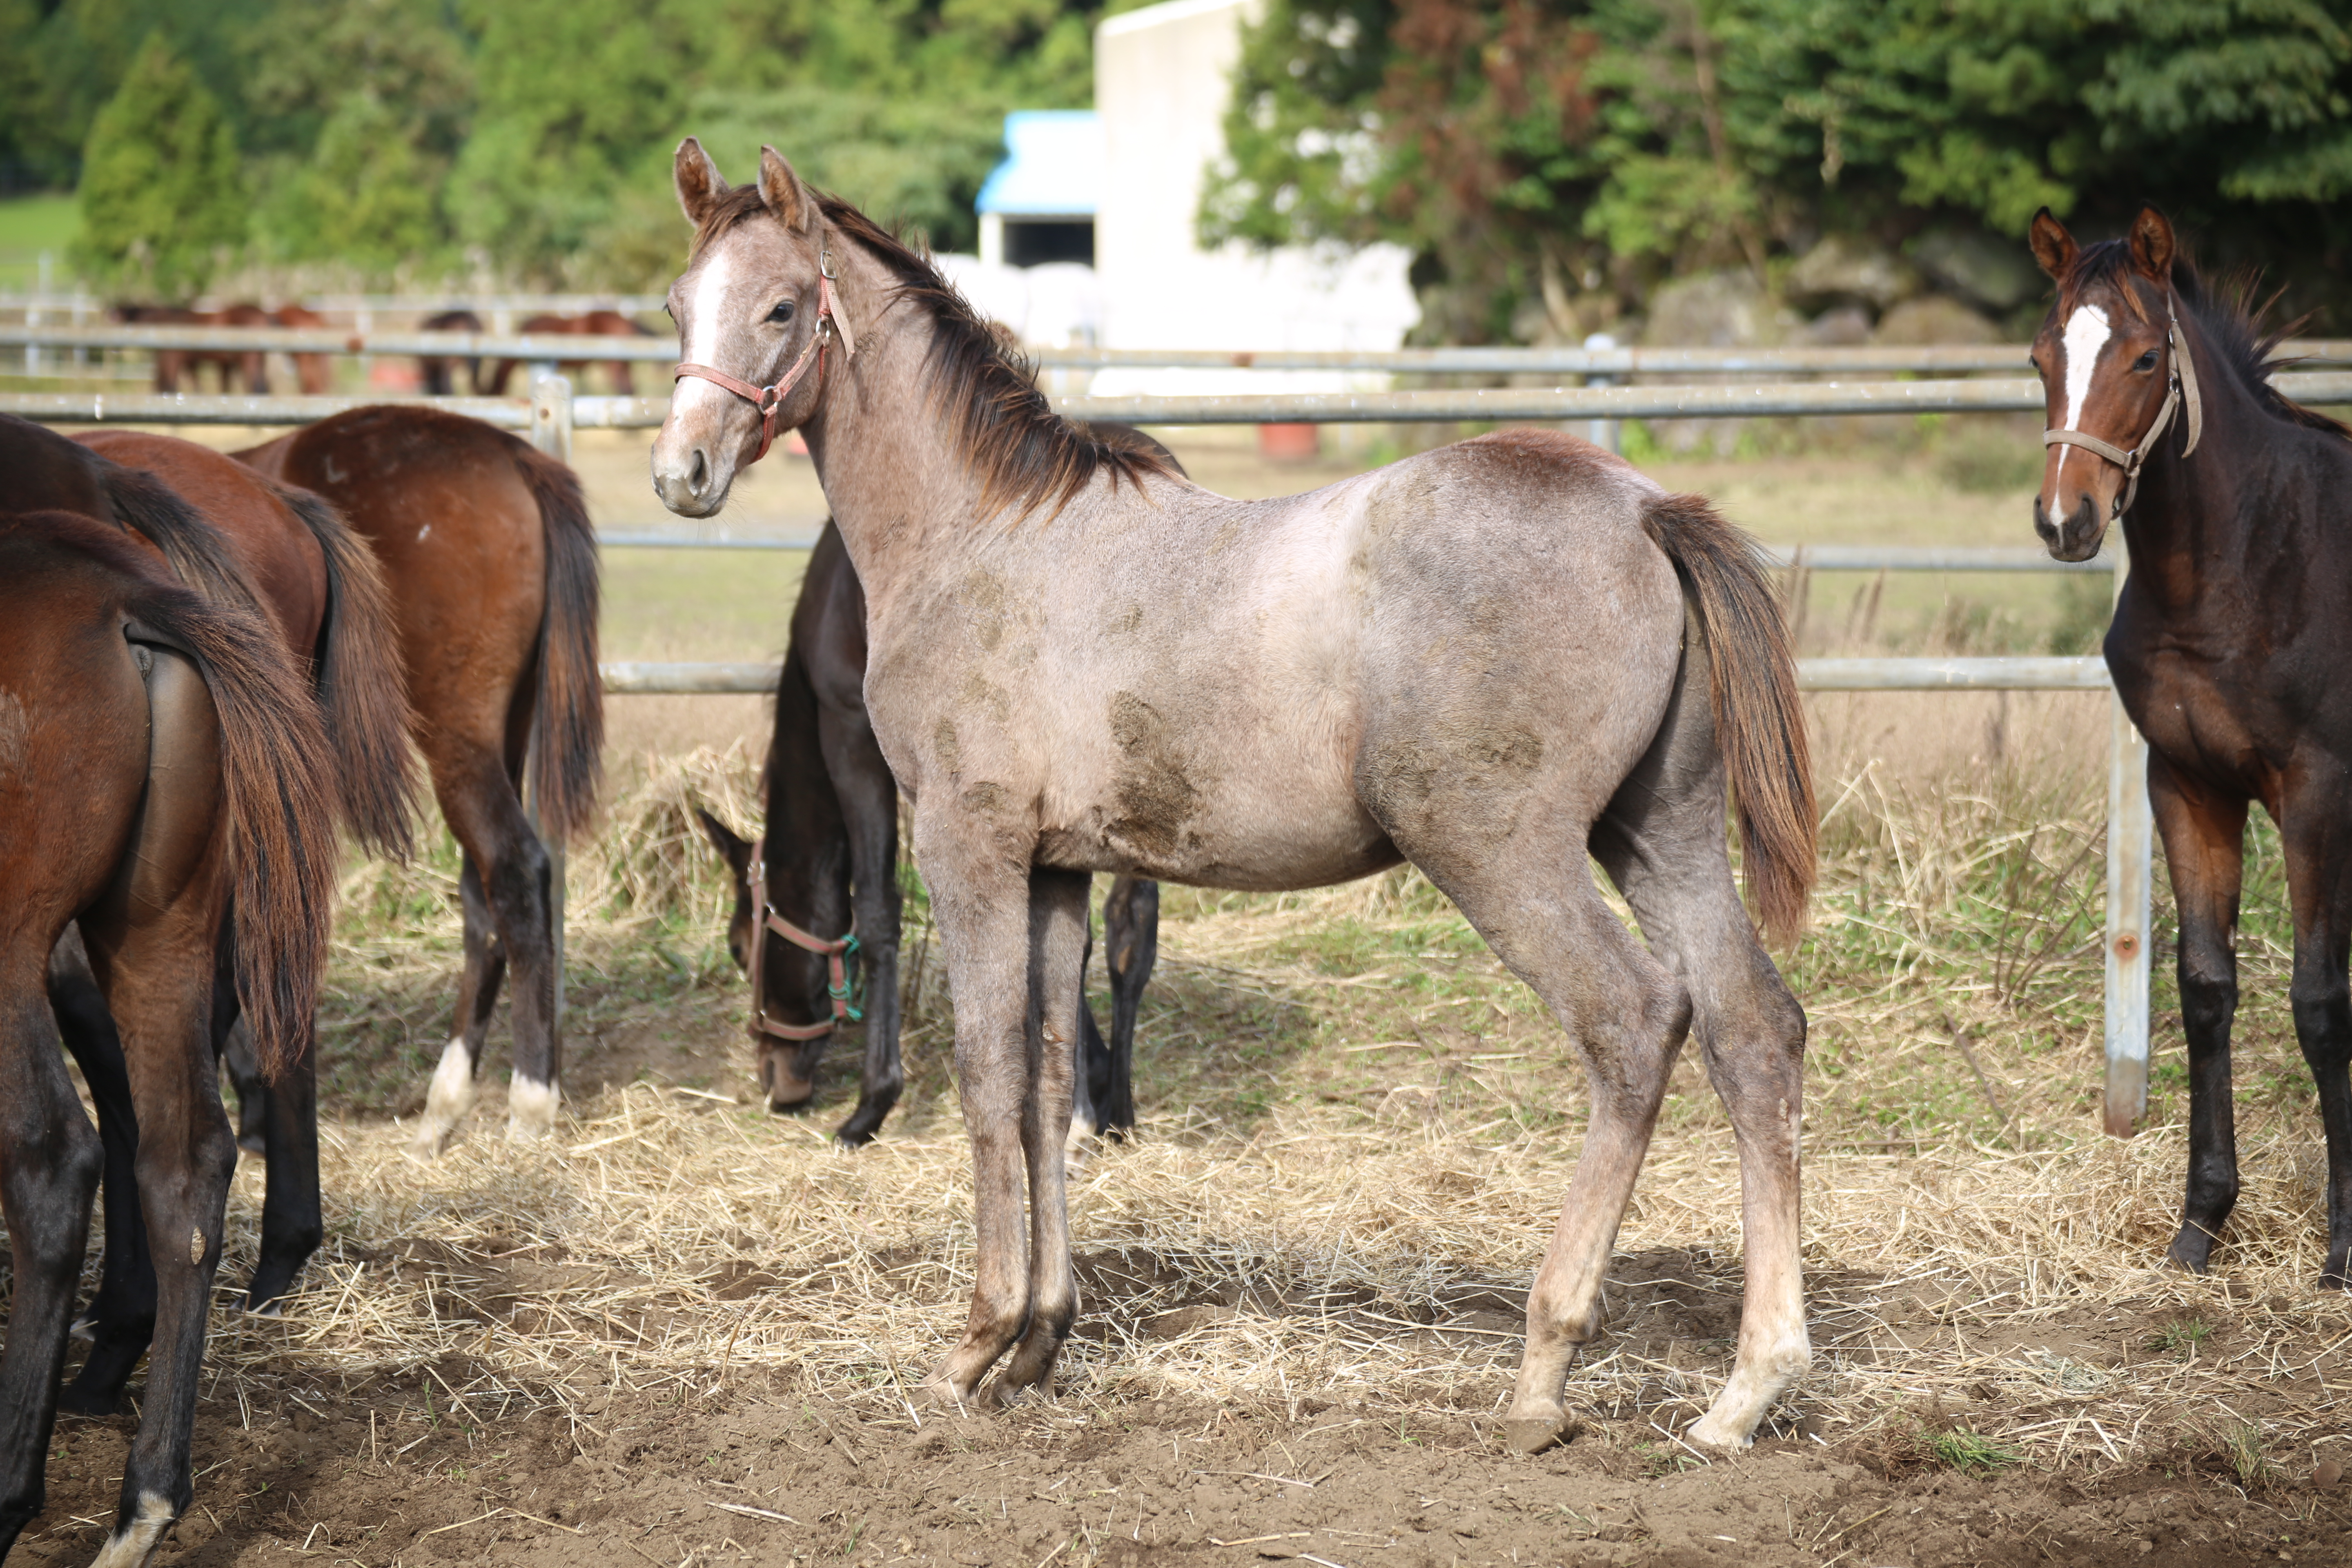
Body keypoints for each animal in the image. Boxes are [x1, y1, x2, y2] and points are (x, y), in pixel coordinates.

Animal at [0, 512, 339, 1568]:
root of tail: (121, 596)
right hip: (160, 940)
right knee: (182, 1164)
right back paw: (142, 1501)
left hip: (15, 950)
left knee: (53, 1161)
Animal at [238, 399, 602, 1147]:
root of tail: (512, 455)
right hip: (502, 734)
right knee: (483, 898)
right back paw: (447, 1102)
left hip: (457, 734)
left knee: (514, 873)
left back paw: (529, 1102)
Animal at [686, 512, 1166, 1142]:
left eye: (740, 949)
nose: (774, 1076)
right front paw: (1095, 1081)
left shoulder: (854, 736)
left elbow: (877, 910)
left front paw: (873, 1103)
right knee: (1130, 926)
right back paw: (1118, 1109)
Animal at [2022, 208, 2352, 1288]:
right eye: (2041, 356)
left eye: (2141, 358)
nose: (2065, 521)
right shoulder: (2186, 783)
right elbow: (2206, 989)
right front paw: (2201, 1221)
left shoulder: (2315, 791)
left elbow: (2317, 1000)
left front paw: (2342, 1245)